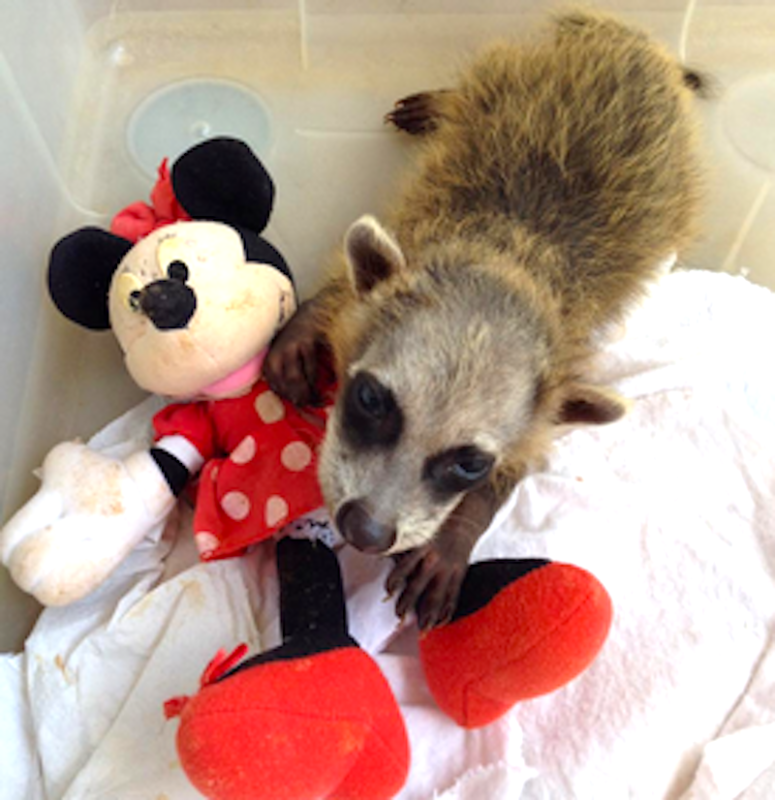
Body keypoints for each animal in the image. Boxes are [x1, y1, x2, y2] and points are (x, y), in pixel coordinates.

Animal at [266, 9, 704, 628]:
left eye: (469, 463)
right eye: (371, 400)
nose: (366, 531)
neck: (505, 264)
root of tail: (638, 44)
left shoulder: (553, 385)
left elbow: (522, 458)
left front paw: (458, 532)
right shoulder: (415, 234)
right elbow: (348, 288)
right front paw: (309, 320)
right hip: (517, 74)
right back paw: (447, 99)